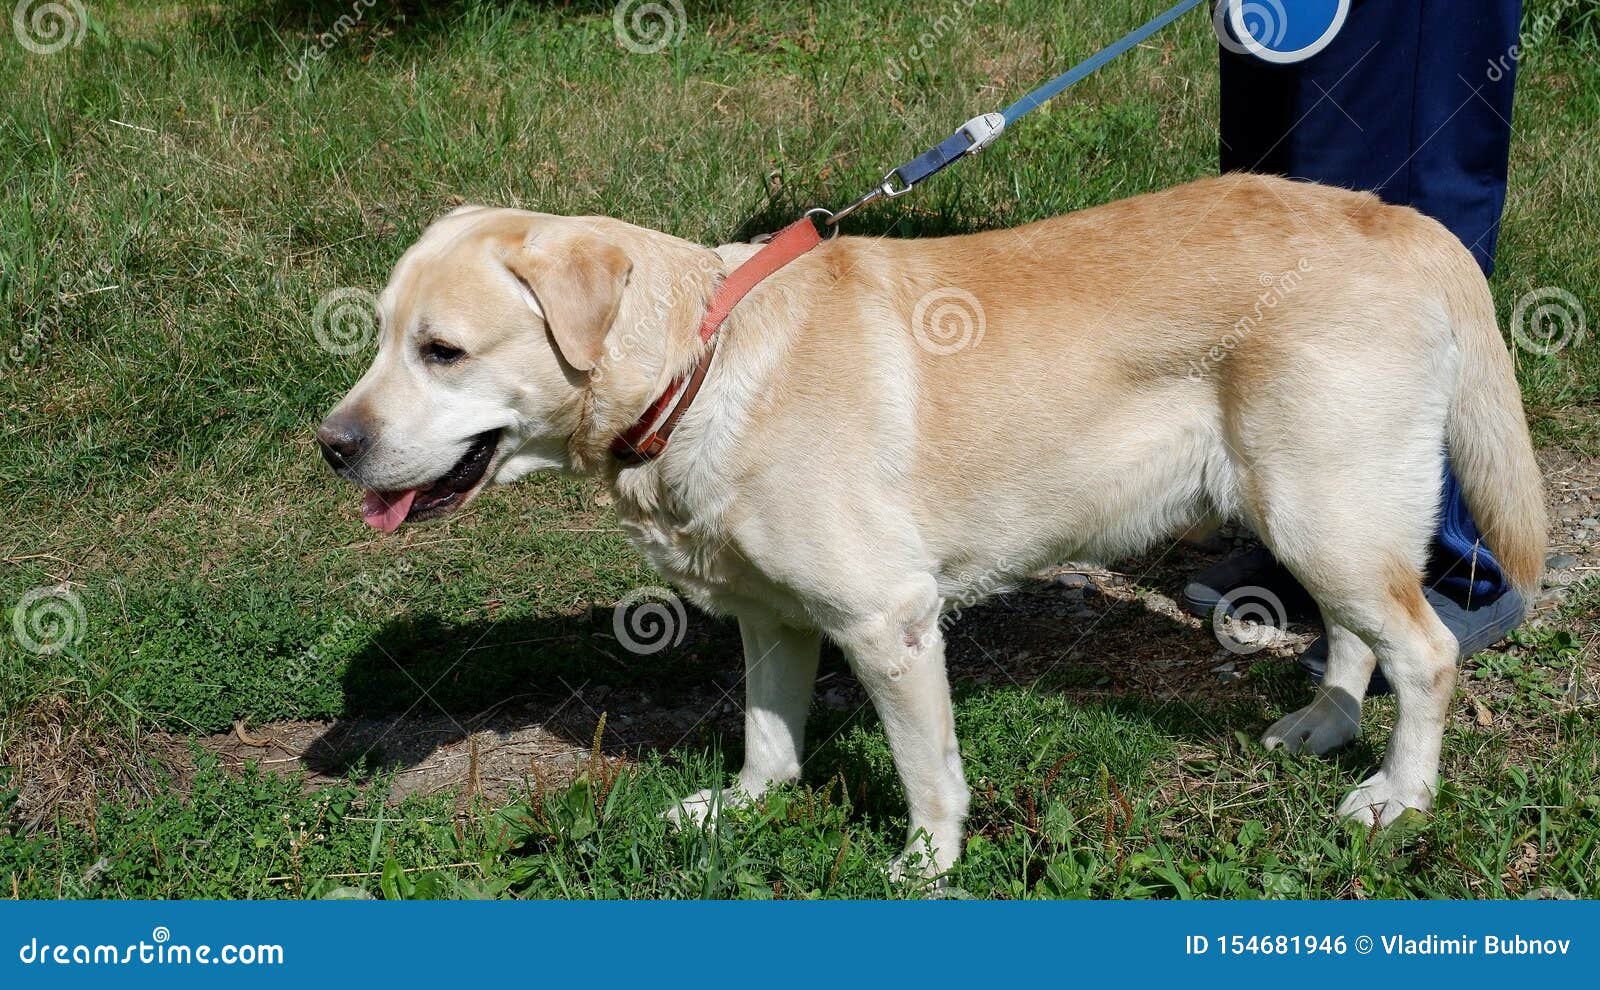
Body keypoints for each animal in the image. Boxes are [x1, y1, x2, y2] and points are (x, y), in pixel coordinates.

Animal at [318, 174, 1542, 876]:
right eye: (376, 335)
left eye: (442, 351)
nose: (331, 444)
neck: (699, 365)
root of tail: (1403, 220)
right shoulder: (772, 616)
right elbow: (768, 734)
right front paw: (743, 808)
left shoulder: (887, 622)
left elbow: (926, 772)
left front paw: (925, 861)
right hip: (1317, 510)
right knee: (1357, 637)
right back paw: (1328, 722)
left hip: (1318, 503)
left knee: (1426, 652)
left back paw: (1398, 795)